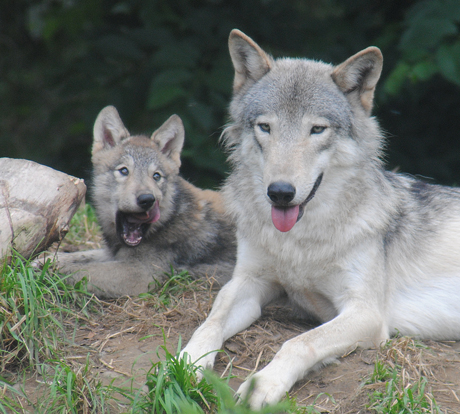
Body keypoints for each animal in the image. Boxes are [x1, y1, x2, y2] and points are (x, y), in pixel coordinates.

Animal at [52, 106, 235, 298]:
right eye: (124, 171)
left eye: (156, 176)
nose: (147, 199)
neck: (170, 219)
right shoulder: (113, 255)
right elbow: (75, 257)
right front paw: (46, 259)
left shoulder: (139, 274)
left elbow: (78, 269)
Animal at [181, 29, 460, 408]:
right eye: (265, 127)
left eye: (316, 129)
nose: (280, 192)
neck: (300, 243)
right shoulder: (249, 282)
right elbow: (211, 320)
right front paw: (184, 363)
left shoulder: (365, 313)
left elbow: (299, 343)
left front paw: (263, 384)